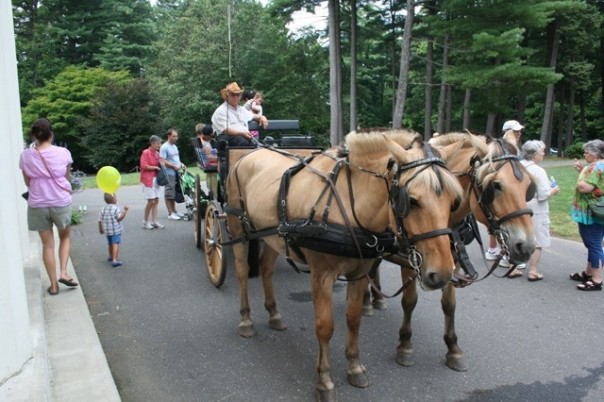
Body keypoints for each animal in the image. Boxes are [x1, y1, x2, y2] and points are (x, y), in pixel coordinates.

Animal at [224, 130, 464, 400]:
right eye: (411, 200)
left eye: (454, 201)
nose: (442, 274)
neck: (348, 206)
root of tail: (249, 155)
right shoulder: (321, 275)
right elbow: (325, 327)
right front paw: (325, 381)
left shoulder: (359, 273)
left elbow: (353, 318)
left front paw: (355, 367)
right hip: (237, 227)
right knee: (242, 272)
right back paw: (246, 320)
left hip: (272, 235)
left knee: (266, 268)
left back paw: (274, 314)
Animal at [368, 133, 536, 372]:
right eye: (495, 185)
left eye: (529, 186)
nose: (527, 246)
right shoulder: (411, 260)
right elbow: (409, 301)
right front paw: (405, 345)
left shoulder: (449, 262)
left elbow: (449, 305)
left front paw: (453, 348)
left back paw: (375, 299)